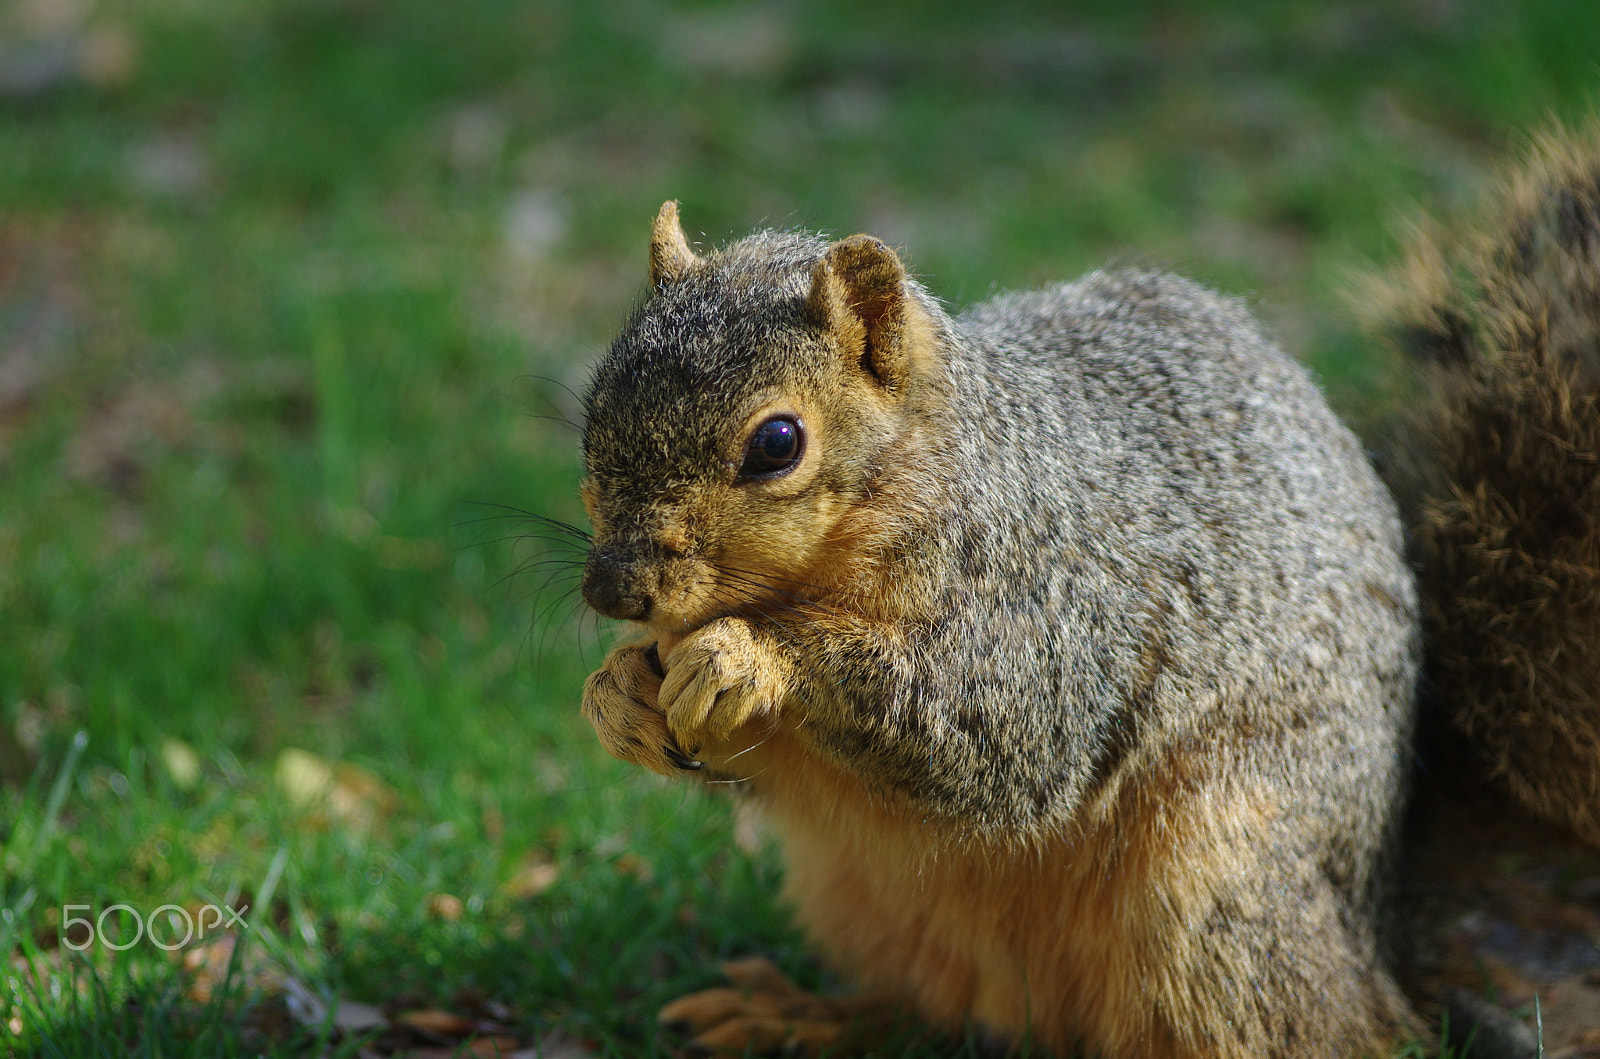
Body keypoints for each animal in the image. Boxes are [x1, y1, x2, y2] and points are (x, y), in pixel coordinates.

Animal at [569, 118, 1593, 1059]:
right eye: (592, 410)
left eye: (777, 443)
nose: (613, 589)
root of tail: (1377, 940)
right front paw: (616, 694)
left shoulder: (1062, 602)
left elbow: (989, 725)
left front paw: (746, 657)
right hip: (862, 898)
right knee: (939, 1014)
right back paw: (805, 1017)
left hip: (1215, 890)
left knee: (1307, 1029)